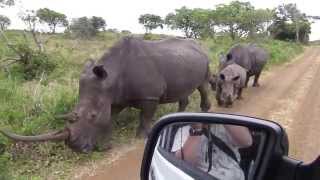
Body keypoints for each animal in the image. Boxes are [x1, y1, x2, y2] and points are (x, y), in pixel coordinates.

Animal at [0, 37, 212, 153]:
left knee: (202, 85)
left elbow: (145, 117)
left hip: (205, 59)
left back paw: (204, 112)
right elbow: (110, 118)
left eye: (92, 115)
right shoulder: (114, 97)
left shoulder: (149, 96)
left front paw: (140, 138)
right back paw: (180, 117)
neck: (113, 77)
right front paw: (104, 146)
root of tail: (200, 46)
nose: (75, 148)